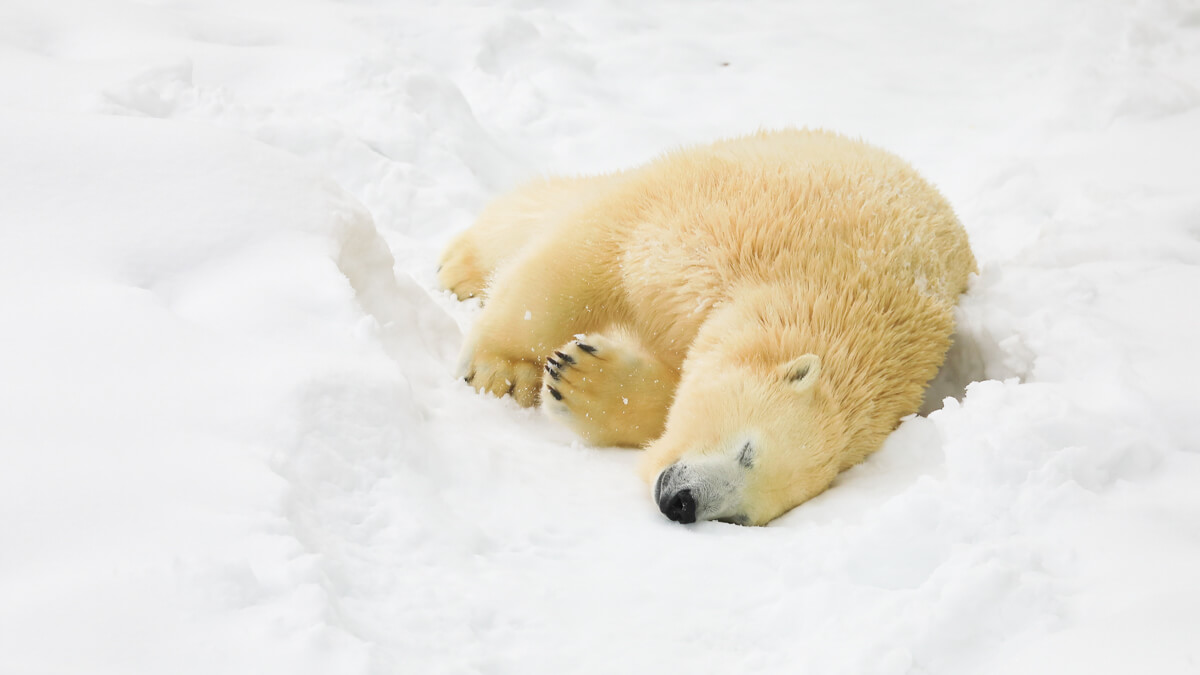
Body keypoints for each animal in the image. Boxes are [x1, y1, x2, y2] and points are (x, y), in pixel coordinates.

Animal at [441, 127, 974, 526]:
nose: (683, 503)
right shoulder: (714, 226)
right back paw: (459, 268)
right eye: (747, 451)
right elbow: (586, 259)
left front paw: (582, 380)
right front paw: (503, 369)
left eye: (741, 518)